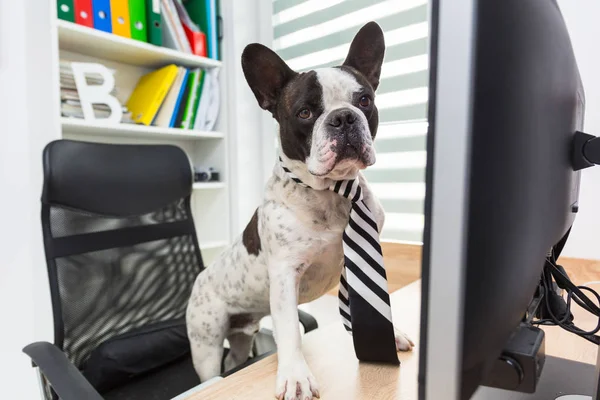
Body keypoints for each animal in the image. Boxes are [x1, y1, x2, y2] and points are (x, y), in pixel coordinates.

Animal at [186, 21, 412, 400]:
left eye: (364, 101)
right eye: (305, 113)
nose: (343, 117)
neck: (332, 193)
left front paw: (388, 336)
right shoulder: (285, 277)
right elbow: (290, 329)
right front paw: (295, 376)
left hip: (241, 337)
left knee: (235, 359)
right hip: (206, 343)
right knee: (212, 367)